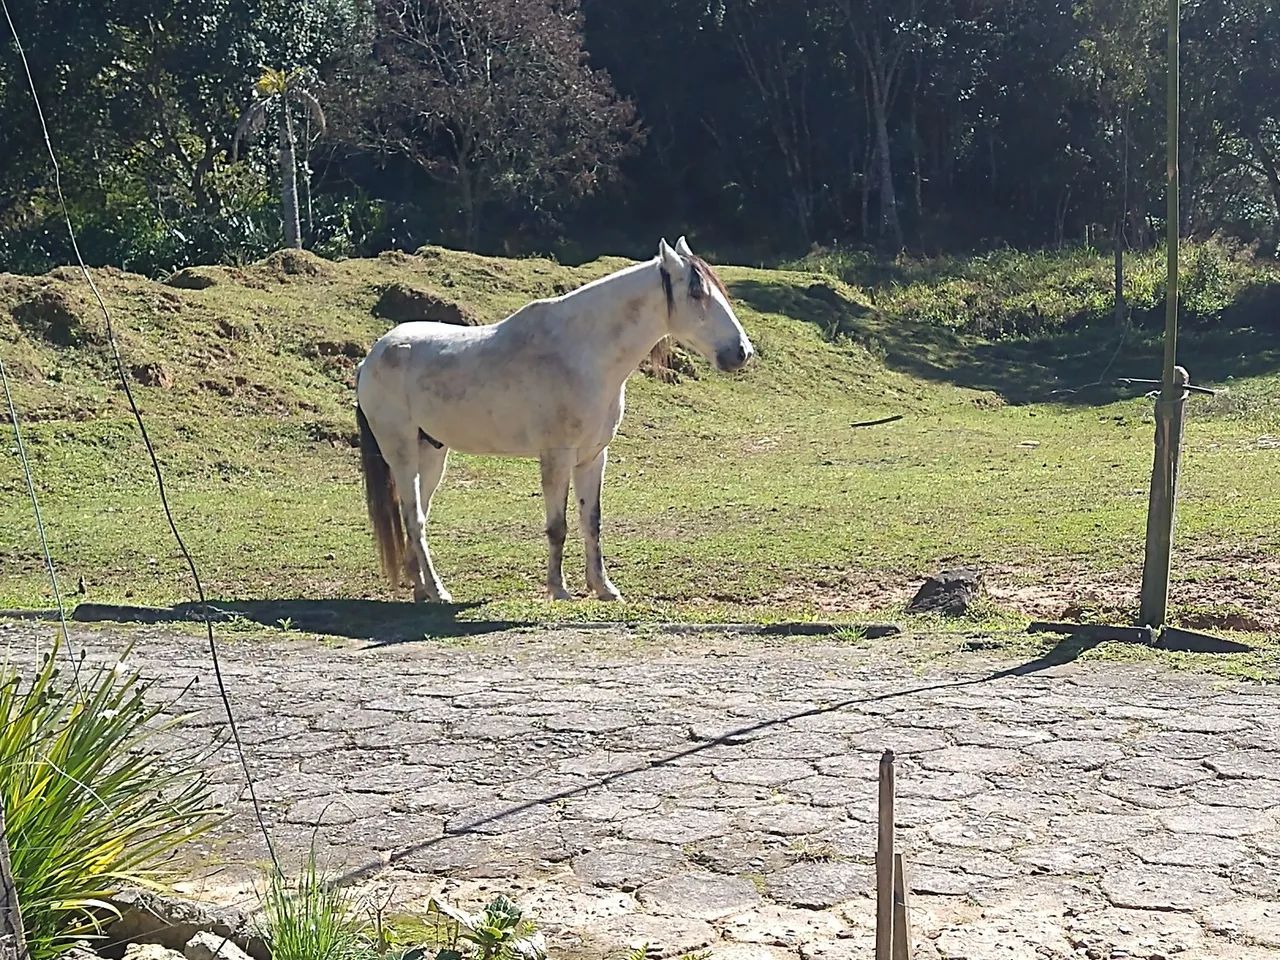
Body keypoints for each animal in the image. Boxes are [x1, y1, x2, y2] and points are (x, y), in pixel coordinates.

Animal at [354, 236, 755, 603]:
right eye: (697, 294)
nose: (741, 352)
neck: (581, 353)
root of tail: (371, 358)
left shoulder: (593, 457)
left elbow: (591, 521)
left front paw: (604, 588)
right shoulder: (557, 457)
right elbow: (557, 526)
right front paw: (558, 589)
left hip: (432, 453)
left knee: (416, 517)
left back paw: (422, 588)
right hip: (402, 454)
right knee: (414, 519)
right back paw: (438, 591)